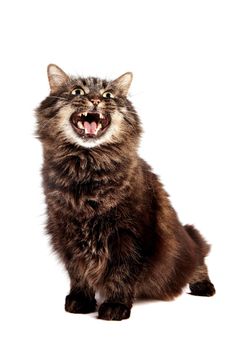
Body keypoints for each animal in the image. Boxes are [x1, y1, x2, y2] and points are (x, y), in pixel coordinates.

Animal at [35, 64, 216, 322]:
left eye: (108, 95)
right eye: (78, 91)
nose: (95, 100)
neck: (87, 171)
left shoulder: (129, 234)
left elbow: (121, 273)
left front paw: (115, 305)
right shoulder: (65, 231)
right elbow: (78, 271)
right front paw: (81, 300)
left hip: (189, 238)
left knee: (200, 257)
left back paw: (203, 286)